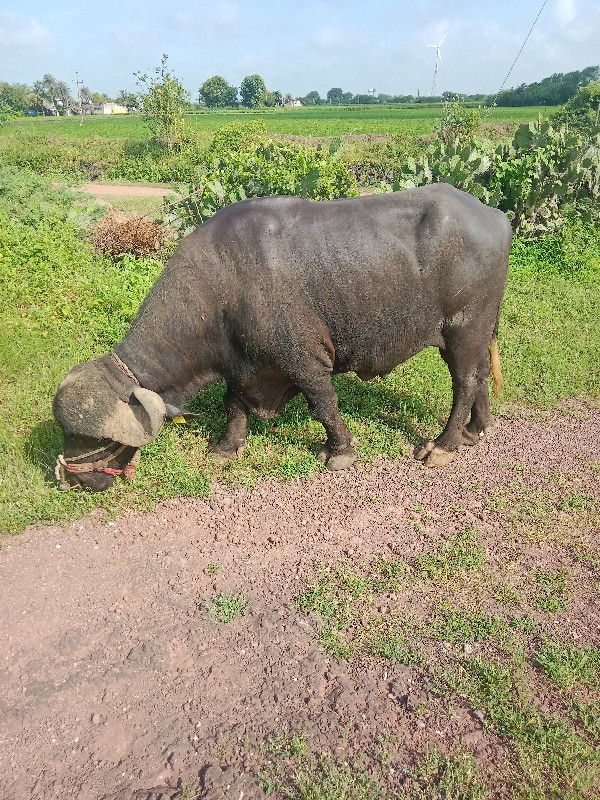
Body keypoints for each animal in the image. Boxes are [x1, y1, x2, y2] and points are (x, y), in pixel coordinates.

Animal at [52, 184, 510, 490]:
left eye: (94, 439)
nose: (73, 480)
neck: (222, 288)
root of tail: (495, 216)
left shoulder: (304, 359)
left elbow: (323, 403)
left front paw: (339, 452)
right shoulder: (242, 365)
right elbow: (233, 404)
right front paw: (227, 446)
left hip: (463, 327)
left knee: (465, 381)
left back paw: (444, 444)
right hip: (476, 331)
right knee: (479, 376)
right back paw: (476, 430)